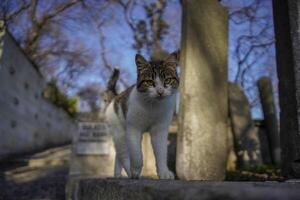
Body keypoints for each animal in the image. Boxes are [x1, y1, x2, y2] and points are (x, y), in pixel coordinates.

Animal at [102, 52, 179, 180]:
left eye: (167, 80)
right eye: (150, 82)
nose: (160, 91)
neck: (153, 106)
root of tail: (115, 97)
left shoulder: (160, 130)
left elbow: (161, 153)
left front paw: (164, 173)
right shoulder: (134, 128)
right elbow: (136, 155)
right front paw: (135, 171)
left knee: (119, 154)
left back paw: (118, 175)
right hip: (120, 132)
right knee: (123, 153)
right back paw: (130, 173)